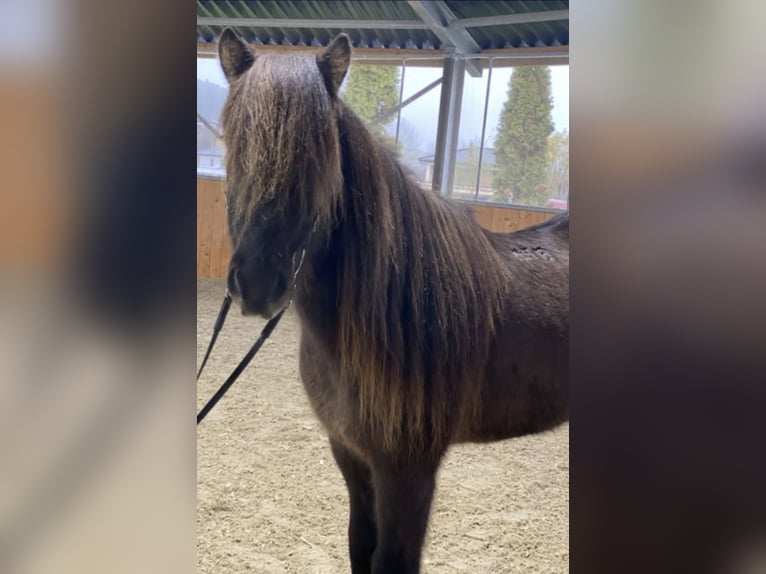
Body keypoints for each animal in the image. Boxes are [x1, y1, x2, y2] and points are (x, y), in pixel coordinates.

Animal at [216, 30, 568, 574]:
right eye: (236, 144)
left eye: (319, 153)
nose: (256, 285)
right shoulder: (351, 454)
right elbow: (360, 545)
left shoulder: (407, 473)